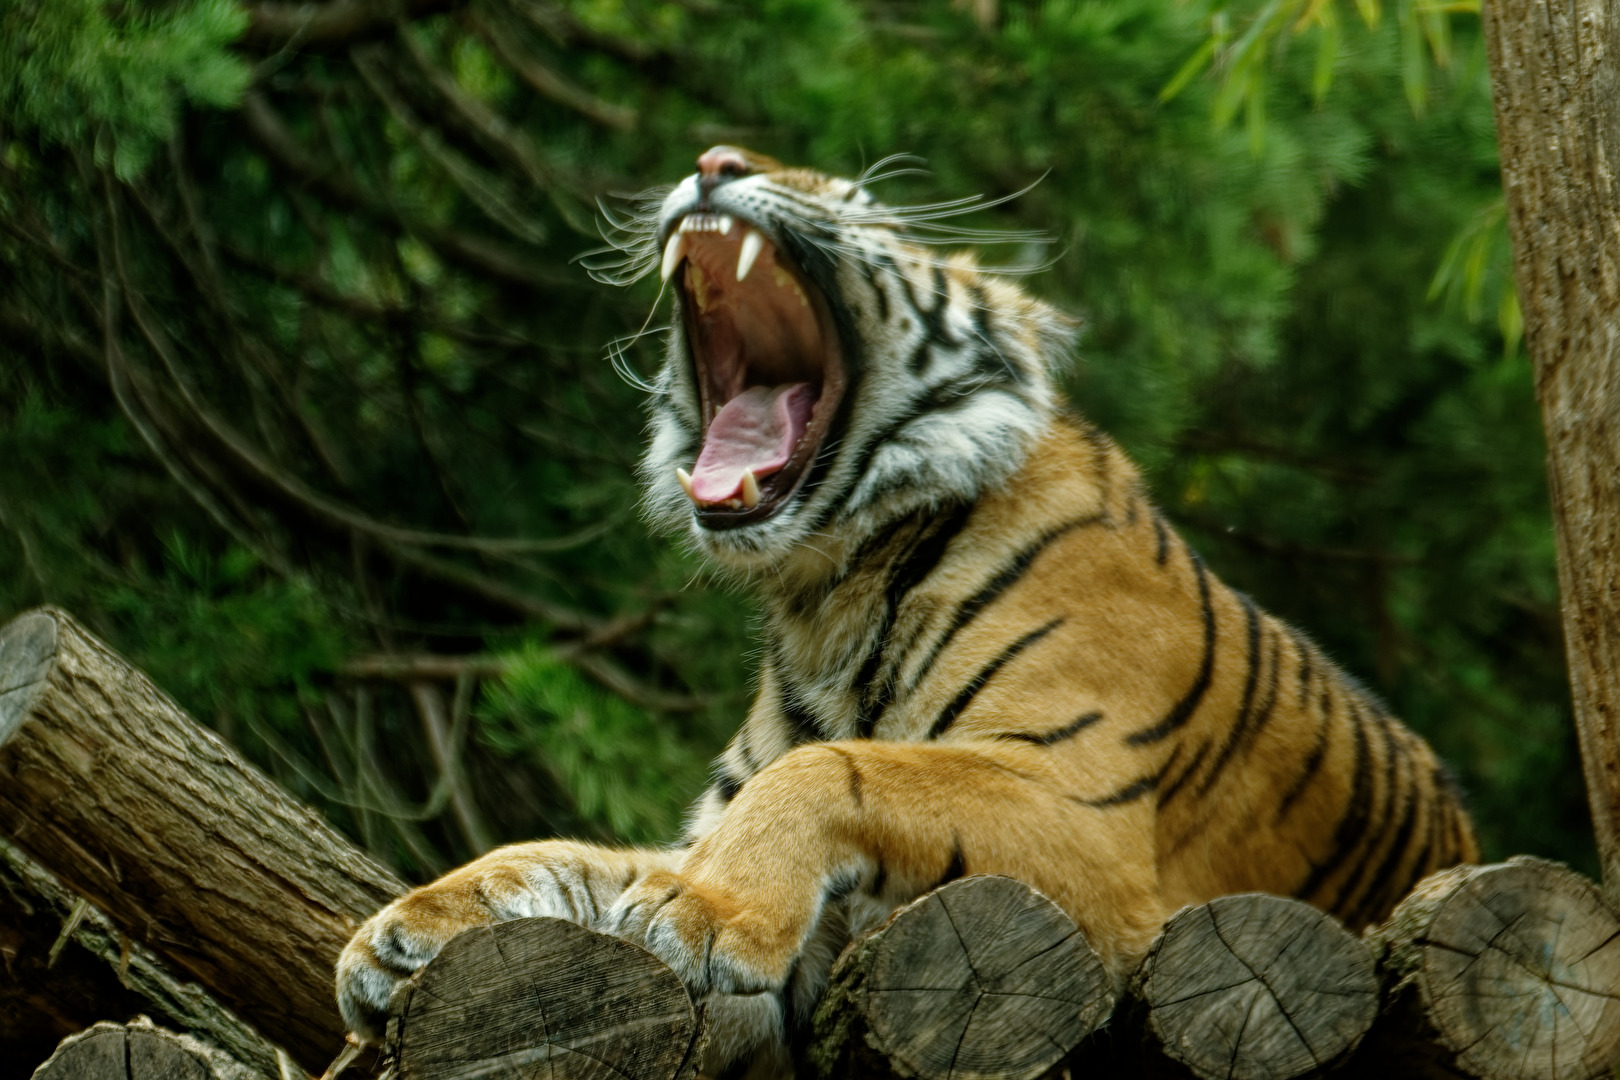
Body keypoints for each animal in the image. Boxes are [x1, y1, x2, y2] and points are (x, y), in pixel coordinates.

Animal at [336, 146, 1479, 1075]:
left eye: (858, 202)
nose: (712, 161)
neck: (827, 590)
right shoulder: (719, 828)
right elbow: (565, 855)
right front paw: (406, 927)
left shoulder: (1091, 823)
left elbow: (837, 769)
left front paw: (705, 912)